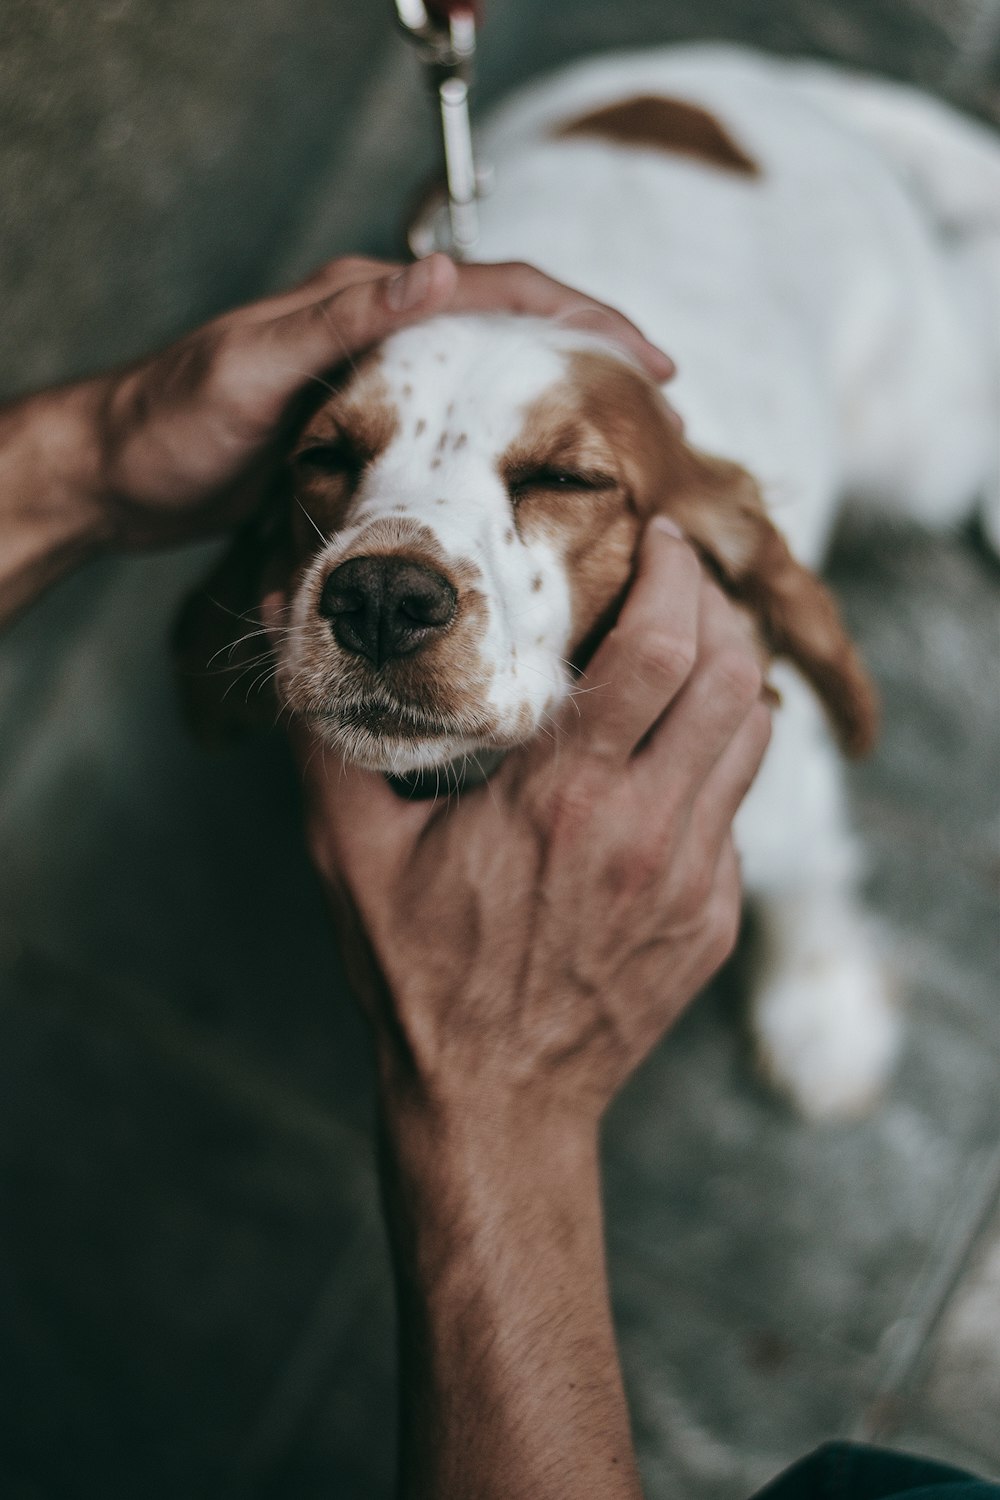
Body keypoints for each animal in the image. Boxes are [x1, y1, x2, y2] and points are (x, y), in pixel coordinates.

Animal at [179, 46, 1000, 1122]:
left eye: (566, 480)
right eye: (323, 456)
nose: (381, 600)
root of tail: (726, 71)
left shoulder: (777, 775)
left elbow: (810, 880)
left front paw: (820, 1018)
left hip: (920, 442)